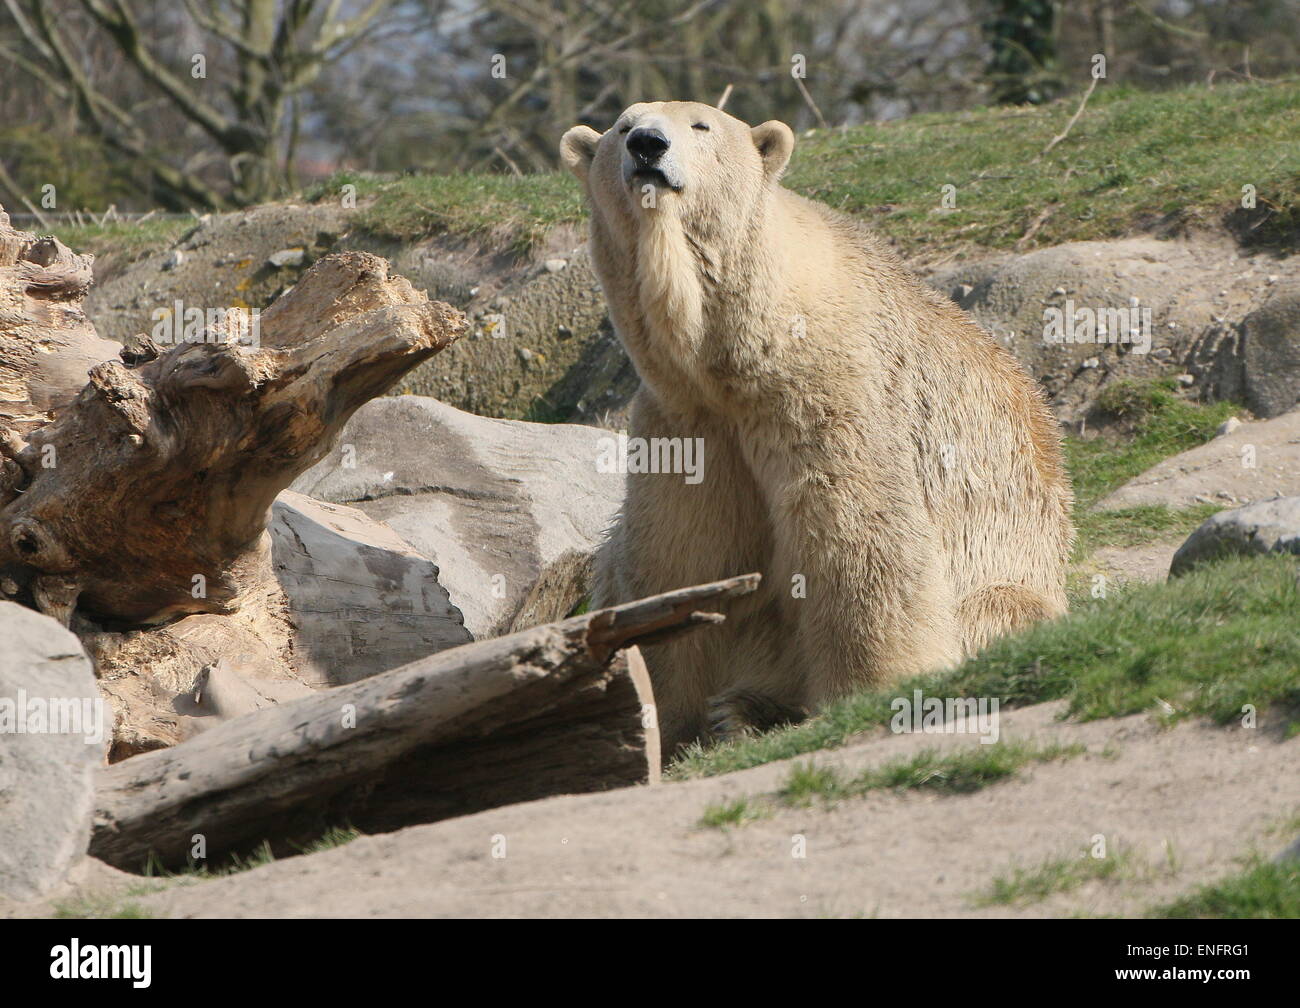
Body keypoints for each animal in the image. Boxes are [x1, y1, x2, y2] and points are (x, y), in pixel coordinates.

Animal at [561, 102, 1076, 759]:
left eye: (701, 125)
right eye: (623, 128)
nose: (648, 145)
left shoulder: (830, 391)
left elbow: (862, 535)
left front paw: (873, 690)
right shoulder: (687, 419)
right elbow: (679, 554)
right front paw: (658, 715)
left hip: (1012, 572)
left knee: (1000, 610)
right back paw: (741, 710)